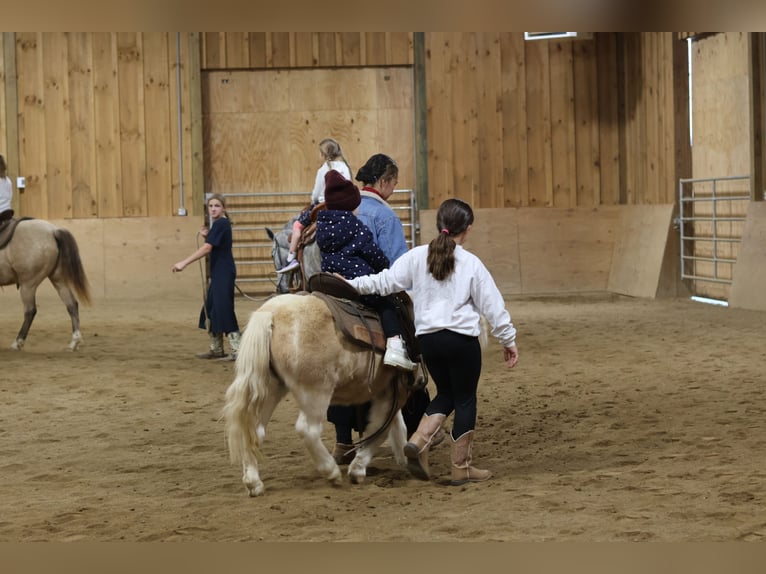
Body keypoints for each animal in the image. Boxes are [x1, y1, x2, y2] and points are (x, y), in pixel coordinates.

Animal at [0, 219, 91, 352]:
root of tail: (53, 231)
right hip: (58, 280)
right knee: (71, 304)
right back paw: (74, 342)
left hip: (28, 285)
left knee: (30, 311)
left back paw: (18, 343)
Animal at [222, 294, 414, 498]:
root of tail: (271, 313)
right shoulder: (396, 391)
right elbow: (380, 429)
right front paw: (359, 469)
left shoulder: (388, 393)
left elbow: (394, 426)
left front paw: (405, 461)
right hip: (316, 393)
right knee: (308, 430)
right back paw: (331, 471)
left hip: (270, 389)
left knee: (255, 431)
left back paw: (253, 483)